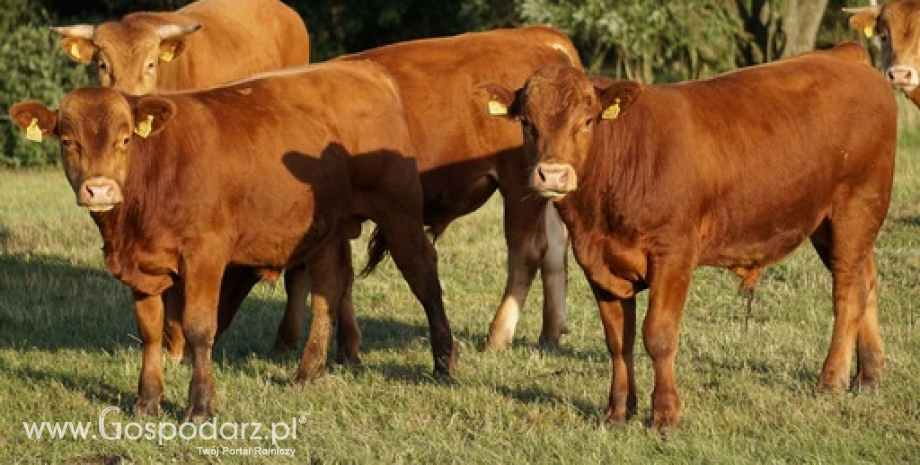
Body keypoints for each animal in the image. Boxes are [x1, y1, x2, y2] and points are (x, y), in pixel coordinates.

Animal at [7, 60, 452, 420]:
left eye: (125, 139)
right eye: (67, 141)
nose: (99, 190)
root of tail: (361, 69)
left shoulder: (206, 254)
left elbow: (199, 327)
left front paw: (200, 405)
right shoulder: (142, 266)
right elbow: (150, 331)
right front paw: (147, 401)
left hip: (399, 211)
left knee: (424, 278)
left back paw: (444, 363)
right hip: (329, 227)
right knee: (330, 286)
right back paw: (308, 372)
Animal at [328, 27, 580, 350]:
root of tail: (529, 35)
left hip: (519, 185)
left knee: (527, 251)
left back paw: (498, 336)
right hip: (548, 184)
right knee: (556, 249)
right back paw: (550, 333)